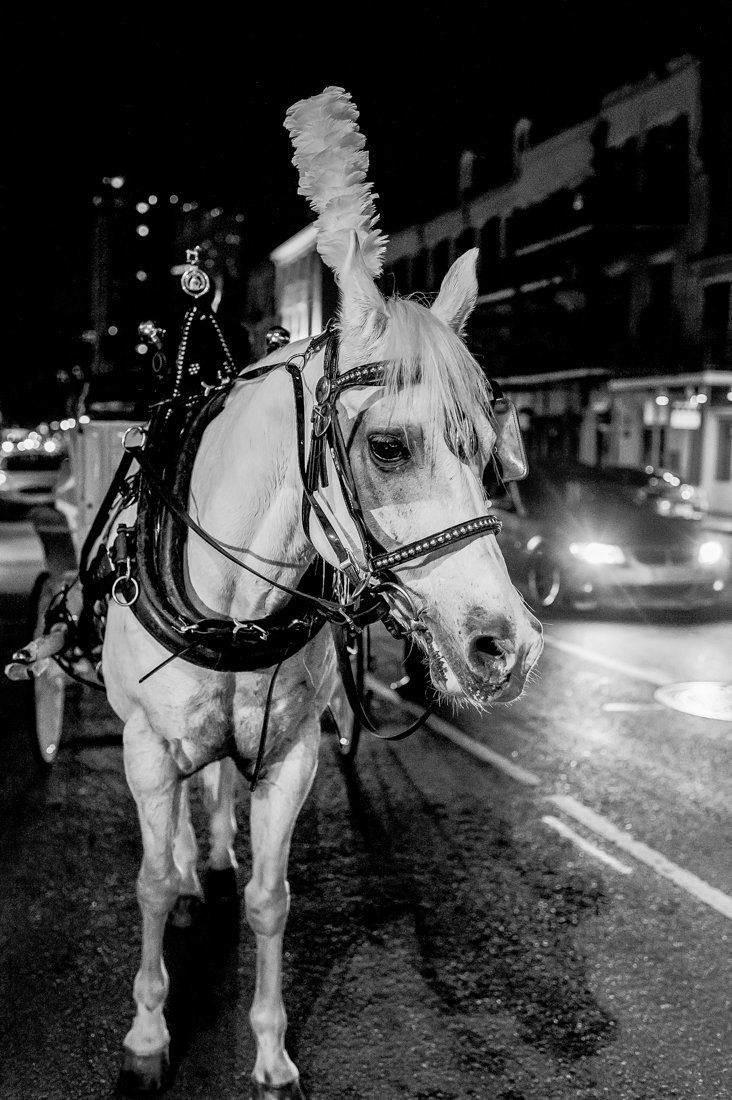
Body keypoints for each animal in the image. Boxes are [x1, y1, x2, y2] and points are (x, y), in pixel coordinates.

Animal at [101, 88, 541, 1100]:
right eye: (387, 446)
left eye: (490, 452)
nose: (509, 647)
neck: (230, 606)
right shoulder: (145, 747)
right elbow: (147, 882)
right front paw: (147, 1034)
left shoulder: (292, 752)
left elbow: (273, 898)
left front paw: (270, 1051)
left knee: (218, 785)